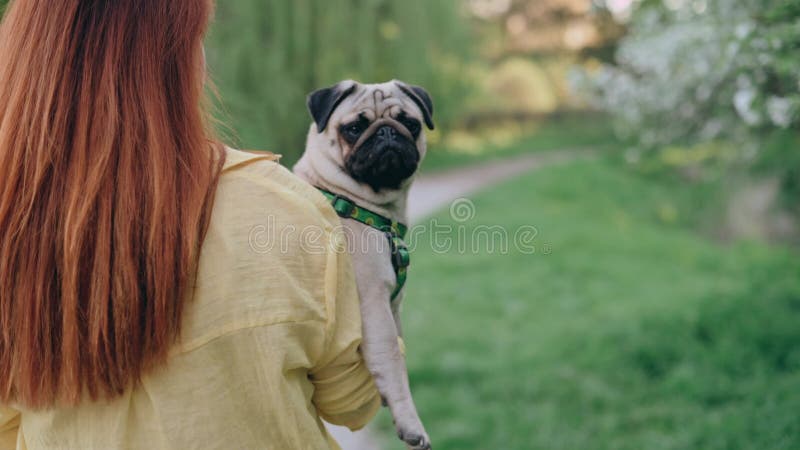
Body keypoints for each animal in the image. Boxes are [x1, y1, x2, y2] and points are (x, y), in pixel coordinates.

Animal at [294, 81, 432, 450]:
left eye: (410, 123)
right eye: (354, 129)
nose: (386, 132)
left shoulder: (392, 307)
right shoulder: (374, 305)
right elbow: (393, 361)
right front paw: (410, 422)